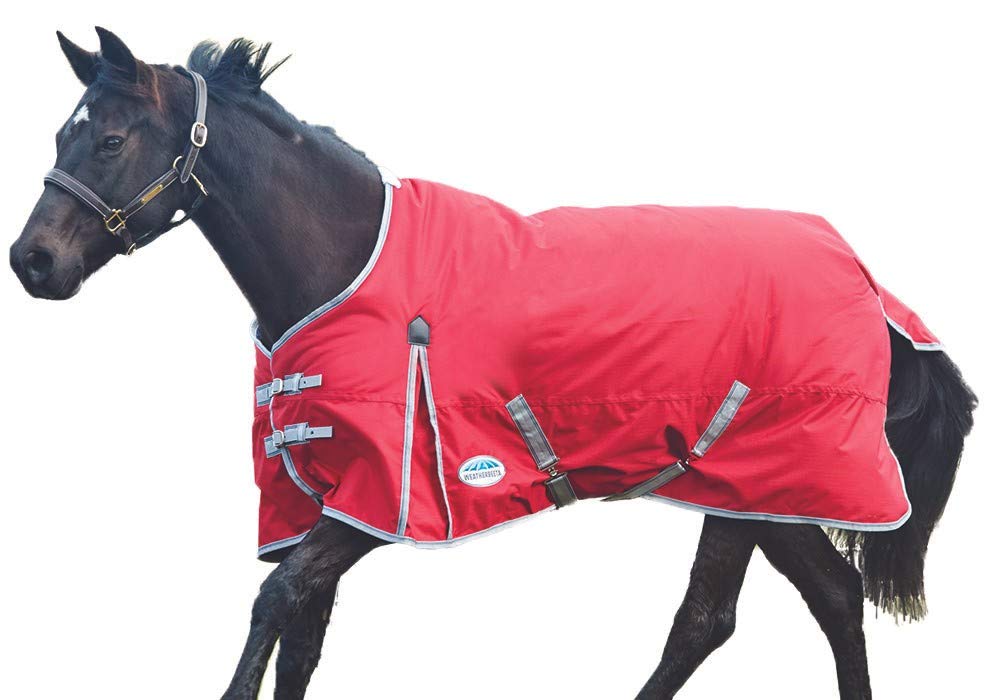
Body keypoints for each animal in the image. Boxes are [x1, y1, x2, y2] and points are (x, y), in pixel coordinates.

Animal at [9, 29, 977, 700]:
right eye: (60, 134)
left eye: (109, 141)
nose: (31, 262)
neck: (350, 267)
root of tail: (870, 287)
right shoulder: (320, 493)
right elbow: (303, 638)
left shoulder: (380, 500)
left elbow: (275, 603)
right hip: (749, 490)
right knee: (787, 606)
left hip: (771, 479)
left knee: (761, 609)